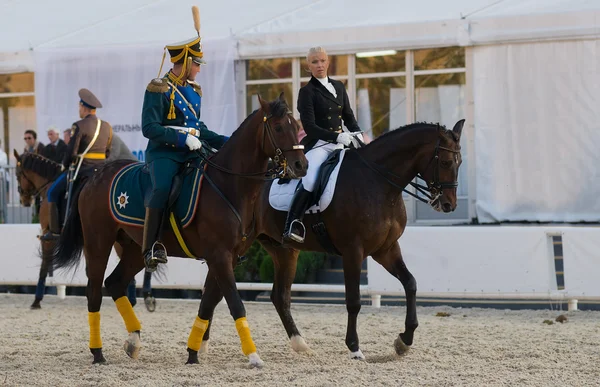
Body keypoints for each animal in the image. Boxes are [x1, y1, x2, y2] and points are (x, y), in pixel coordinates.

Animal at [49, 94, 308, 366]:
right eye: (278, 127)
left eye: (296, 125)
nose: (301, 165)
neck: (228, 184)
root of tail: (95, 175)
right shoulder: (219, 255)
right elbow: (234, 303)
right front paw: (253, 355)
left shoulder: (228, 257)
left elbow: (208, 302)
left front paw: (194, 353)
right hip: (98, 242)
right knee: (94, 292)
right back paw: (98, 352)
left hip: (134, 249)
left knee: (115, 282)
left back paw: (133, 341)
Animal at [192, 120, 464, 360]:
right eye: (446, 161)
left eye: (459, 162)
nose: (449, 204)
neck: (378, 182)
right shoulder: (354, 251)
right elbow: (353, 301)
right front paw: (355, 348)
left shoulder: (386, 249)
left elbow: (411, 284)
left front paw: (403, 341)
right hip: (234, 249)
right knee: (217, 290)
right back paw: (202, 345)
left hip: (281, 250)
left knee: (275, 296)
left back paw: (299, 344)